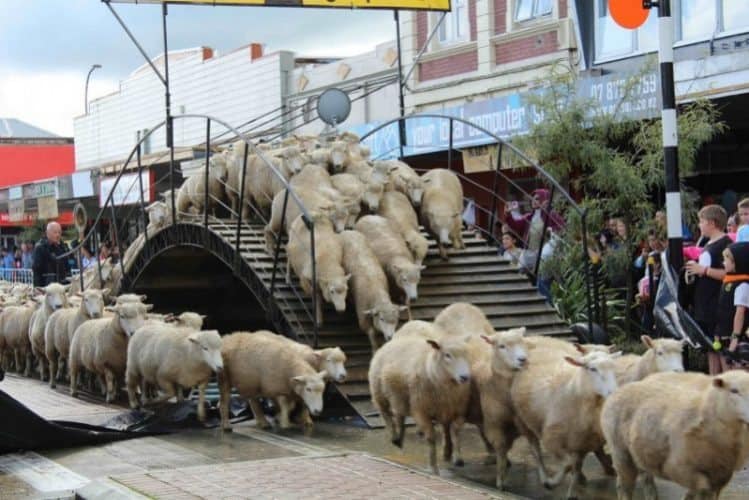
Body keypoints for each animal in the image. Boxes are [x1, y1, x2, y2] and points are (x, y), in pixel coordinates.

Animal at [366, 318, 468, 474]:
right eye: (447, 355)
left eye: (466, 353)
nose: (464, 377)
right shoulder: (421, 410)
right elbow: (431, 438)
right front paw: (433, 468)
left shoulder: (454, 409)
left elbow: (453, 430)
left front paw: (453, 456)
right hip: (379, 393)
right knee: (386, 415)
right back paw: (394, 437)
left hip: (400, 396)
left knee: (399, 415)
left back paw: (400, 439)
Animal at [508, 350, 620, 498]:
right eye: (592, 369)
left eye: (614, 368)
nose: (613, 393)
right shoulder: (552, 440)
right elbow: (567, 465)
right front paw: (551, 483)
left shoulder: (583, 444)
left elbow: (576, 467)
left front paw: (572, 493)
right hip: (523, 421)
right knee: (536, 451)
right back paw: (544, 478)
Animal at [600, 370, 748, 500]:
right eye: (734, 390)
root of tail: (623, 388)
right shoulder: (679, 468)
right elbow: (700, 490)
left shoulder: (721, 475)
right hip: (620, 452)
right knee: (624, 486)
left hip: (640, 453)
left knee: (647, 480)